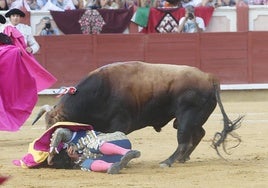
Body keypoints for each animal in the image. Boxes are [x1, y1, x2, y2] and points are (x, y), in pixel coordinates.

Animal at [33, 61, 243, 167]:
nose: (50, 157)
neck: (100, 91)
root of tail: (209, 77)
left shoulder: (120, 123)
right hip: (192, 118)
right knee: (198, 133)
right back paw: (183, 158)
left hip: (187, 116)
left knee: (184, 139)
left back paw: (168, 161)